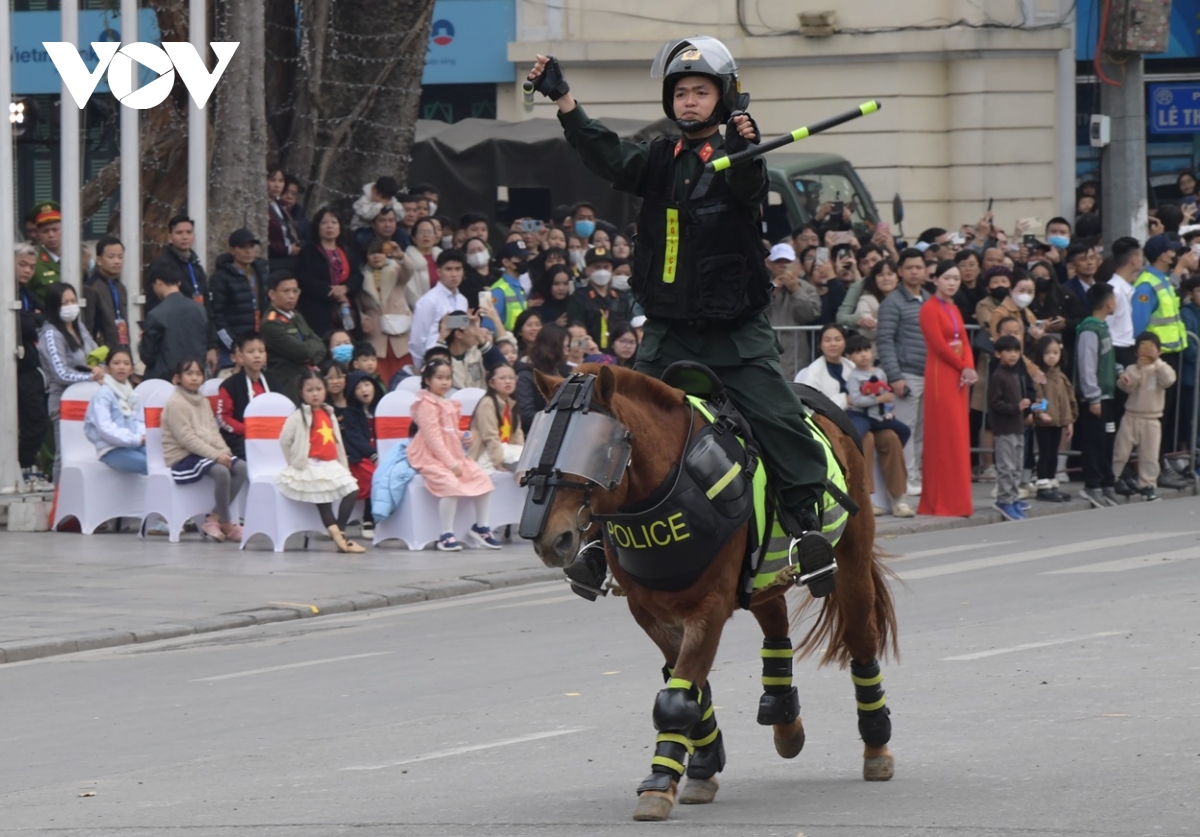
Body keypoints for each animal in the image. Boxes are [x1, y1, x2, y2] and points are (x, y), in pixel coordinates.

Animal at [530, 362, 897, 820]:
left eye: (596, 448)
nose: (551, 540)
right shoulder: (650, 612)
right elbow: (690, 688)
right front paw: (701, 765)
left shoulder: (709, 607)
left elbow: (677, 694)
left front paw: (659, 783)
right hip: (764, 575)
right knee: (775, 624)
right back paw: (783, 717)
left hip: (851, 560)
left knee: (860, 637)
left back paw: (876, 742)